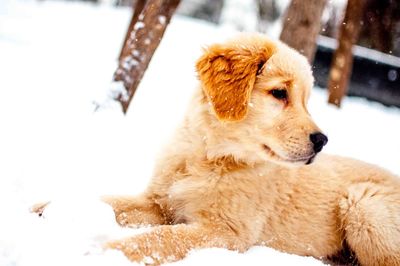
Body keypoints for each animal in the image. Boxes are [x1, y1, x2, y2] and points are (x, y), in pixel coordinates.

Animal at [35, 34, 400, 264]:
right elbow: (109, 201)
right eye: (280, 94)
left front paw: (100, 253)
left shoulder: (226, 231)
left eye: (306, 100)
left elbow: (158, 238)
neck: (208, 156)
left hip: (364, 207)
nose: (322, 141)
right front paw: (42, 209)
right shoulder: (158, 203)